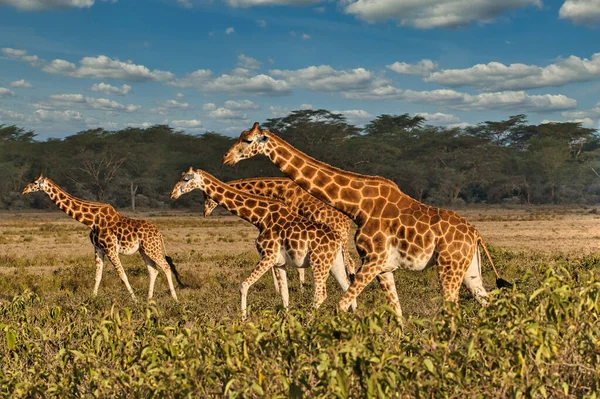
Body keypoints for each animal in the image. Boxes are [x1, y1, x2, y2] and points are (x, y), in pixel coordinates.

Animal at [21, 175, 183, 304]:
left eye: (34, 182)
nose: (24, 190)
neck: (91, 220)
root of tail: (159, 232)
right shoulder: (98, 248)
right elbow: (97, 276)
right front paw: (91, 299)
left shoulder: (111, 249)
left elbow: (122, 275)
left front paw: (135, 300)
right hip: (144, 250)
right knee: (153, 270)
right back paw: (149, 299)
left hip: (151, 248)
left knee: (166, 266)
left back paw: (174, 298)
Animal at [202, 176, 358, 284]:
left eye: (208, 198)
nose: (205, 213)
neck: (279, 189)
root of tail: (346, 223)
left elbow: (297, 266)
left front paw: (299, 289)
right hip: (342, 240)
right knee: (349, 262)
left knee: (348, 262)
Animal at [221, 123, 510, 320]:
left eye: (247, 140)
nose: (226, 158)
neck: (357, 206)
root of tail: (475, 233)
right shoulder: (383, 268)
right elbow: (397, 312)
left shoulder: (373, 260)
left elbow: (341, 304)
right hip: (468, 268)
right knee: (485, 300)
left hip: (449, 266)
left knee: (452, 308)